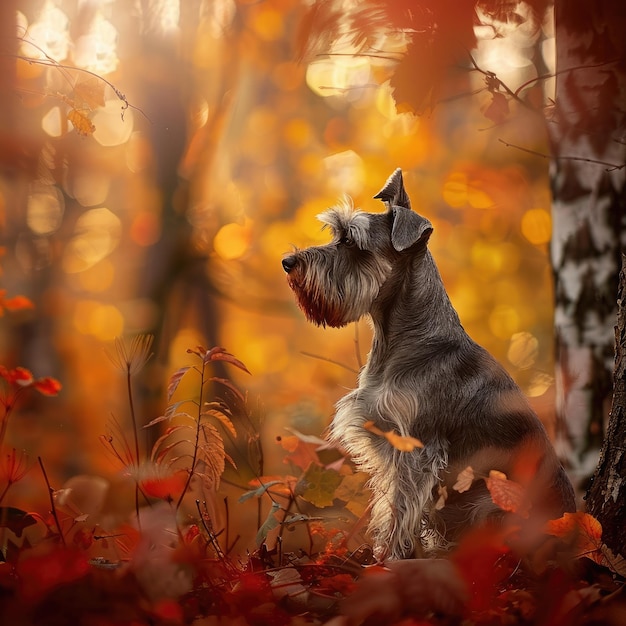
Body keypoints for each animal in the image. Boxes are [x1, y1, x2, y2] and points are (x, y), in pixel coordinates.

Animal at [280, 168, 572, 560]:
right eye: (335, 235)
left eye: (351, 242)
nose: (288, 262)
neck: (398, 338)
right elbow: (390, 505)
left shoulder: (416, 448)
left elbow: (400, 507)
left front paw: (388, 558)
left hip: (491, 503)